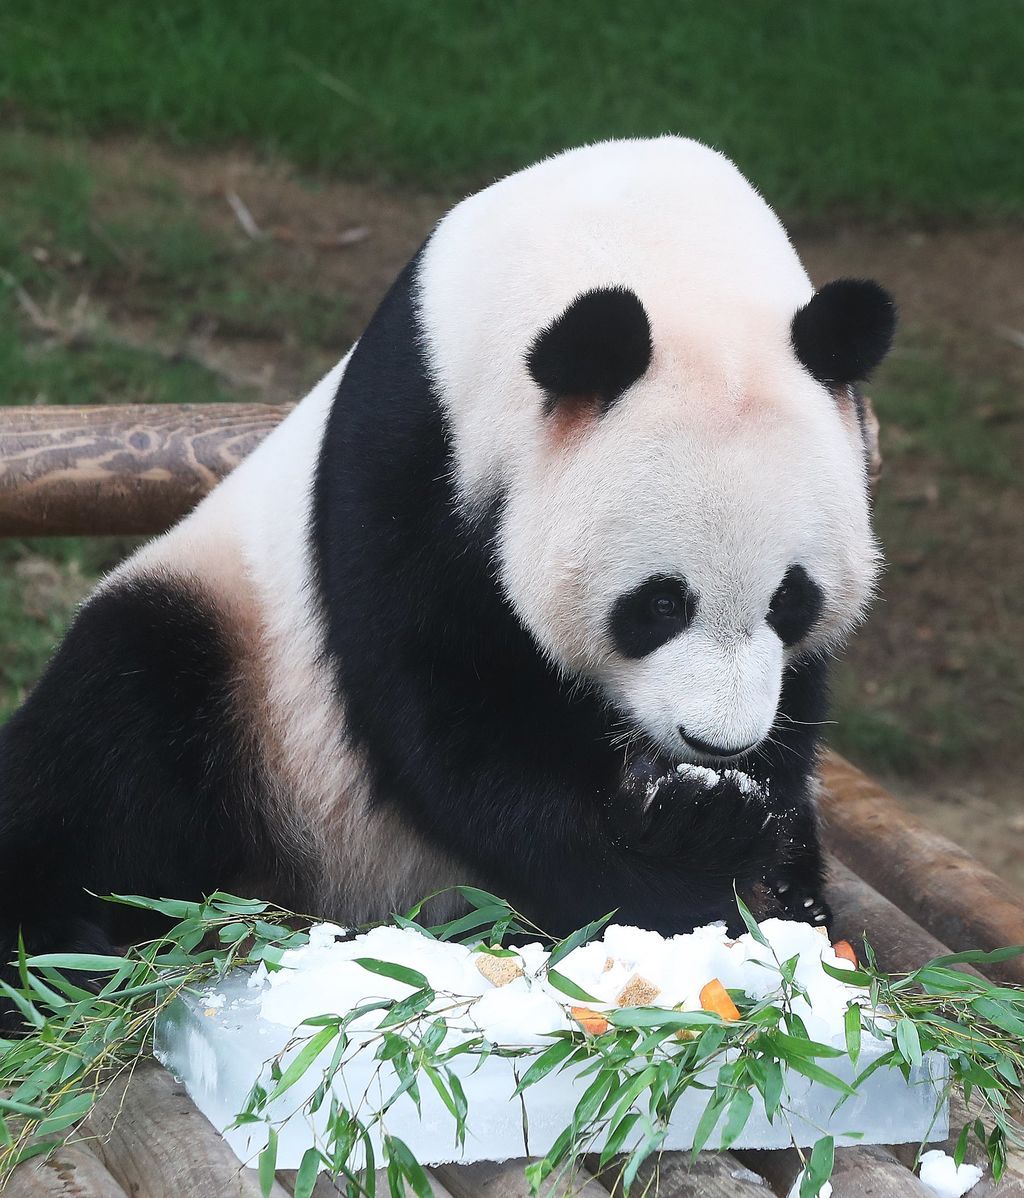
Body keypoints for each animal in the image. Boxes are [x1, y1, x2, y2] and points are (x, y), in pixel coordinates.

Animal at [0, 137, 895, 1001]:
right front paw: (675, 869)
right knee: (117, 725)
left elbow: (793, 731)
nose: (716, 743)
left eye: (791, 601)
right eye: (660, 604)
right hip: (239, 660)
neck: (649, 239)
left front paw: (736, 845)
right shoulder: (415, 441)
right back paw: (58, 952)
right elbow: (447, 717)